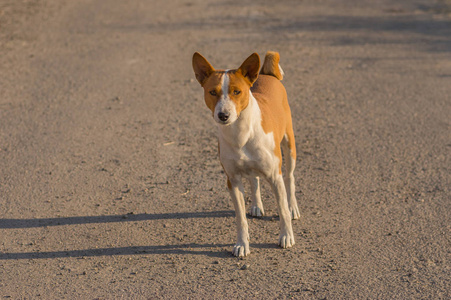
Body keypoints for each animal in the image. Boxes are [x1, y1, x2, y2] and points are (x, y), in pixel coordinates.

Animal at [192, 51, 300, 258]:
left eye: (237, 92)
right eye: (212, 92)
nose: (223, 115)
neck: (240, 134)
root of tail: (266, 74)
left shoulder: (275, 177)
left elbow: (282, 210)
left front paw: (286, 237)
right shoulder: (233, 180)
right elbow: (240, 219)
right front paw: (242, 244)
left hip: (289, 146)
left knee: (290, 178)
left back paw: (293, 207)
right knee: (254, 179)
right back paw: (256, 205)